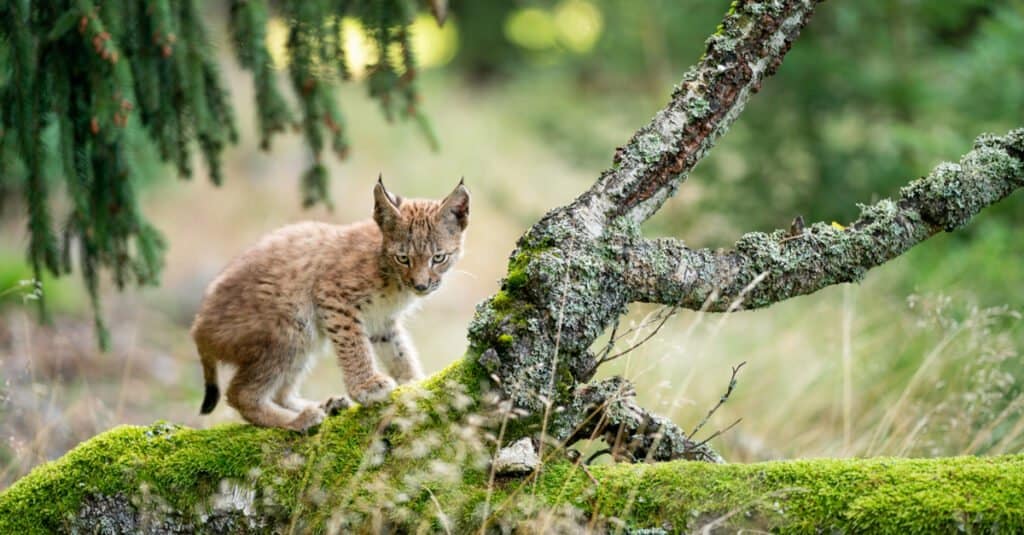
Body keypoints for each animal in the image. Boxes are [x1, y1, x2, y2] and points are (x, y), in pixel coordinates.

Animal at [190, 177, 468, 430]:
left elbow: (399, 350)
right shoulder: (333, 295)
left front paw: (413, 381)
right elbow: (355, 345)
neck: (393, 278)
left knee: (280, 393)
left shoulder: (381, 320)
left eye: (438, 258)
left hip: (304, 338)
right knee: (240, 394)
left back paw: (324, 405)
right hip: (290, 328)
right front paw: (366, 387)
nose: (421, 286)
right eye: (403, 258)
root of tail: (198, 326)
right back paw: (299, 420)